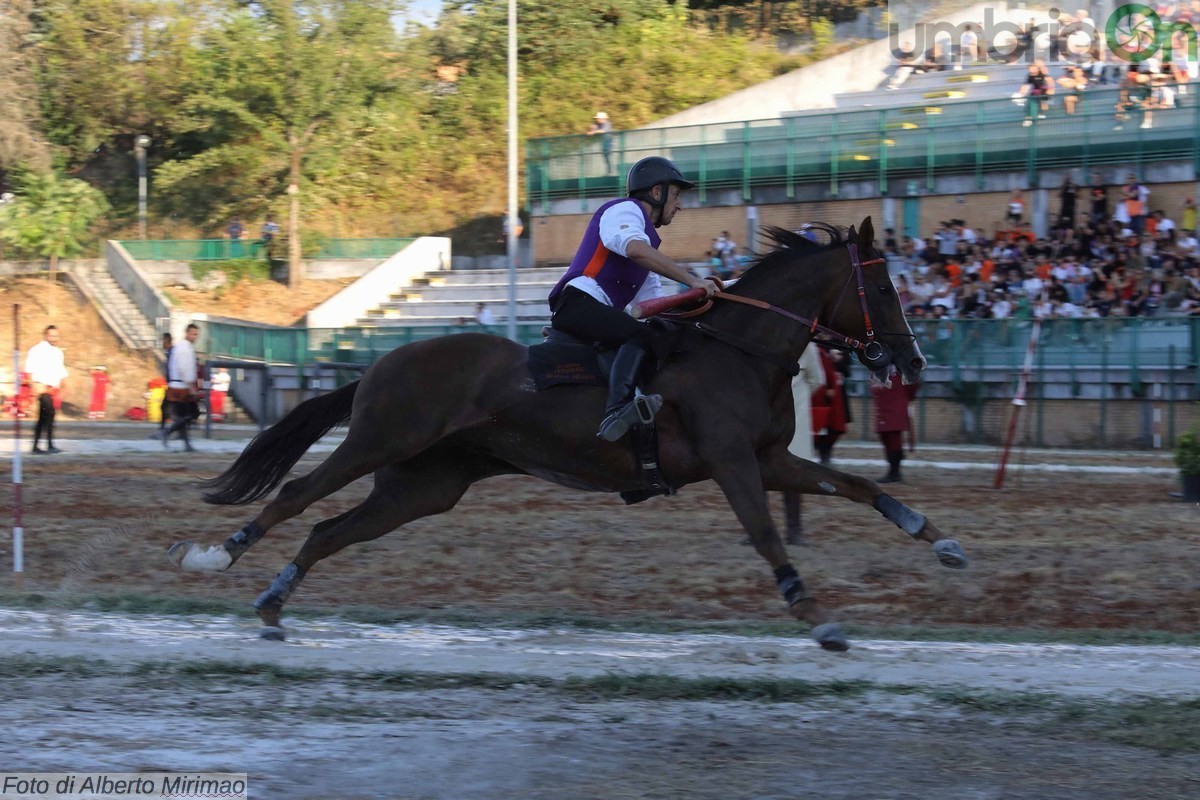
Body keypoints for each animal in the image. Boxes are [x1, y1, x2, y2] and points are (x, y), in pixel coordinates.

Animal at [171, 217, 964, 652]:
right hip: (379, 443)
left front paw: (938, 539)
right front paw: (816, 618)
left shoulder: (770, 460)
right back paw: (218, 557)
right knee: (296, 497)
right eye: (883, 288)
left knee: (328, 530)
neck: (739, 348)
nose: (913, 362)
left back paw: (274, 604)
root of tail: (381, 361)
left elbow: (858, 486)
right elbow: (768, 536)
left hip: (423, 486)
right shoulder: (733, 461)